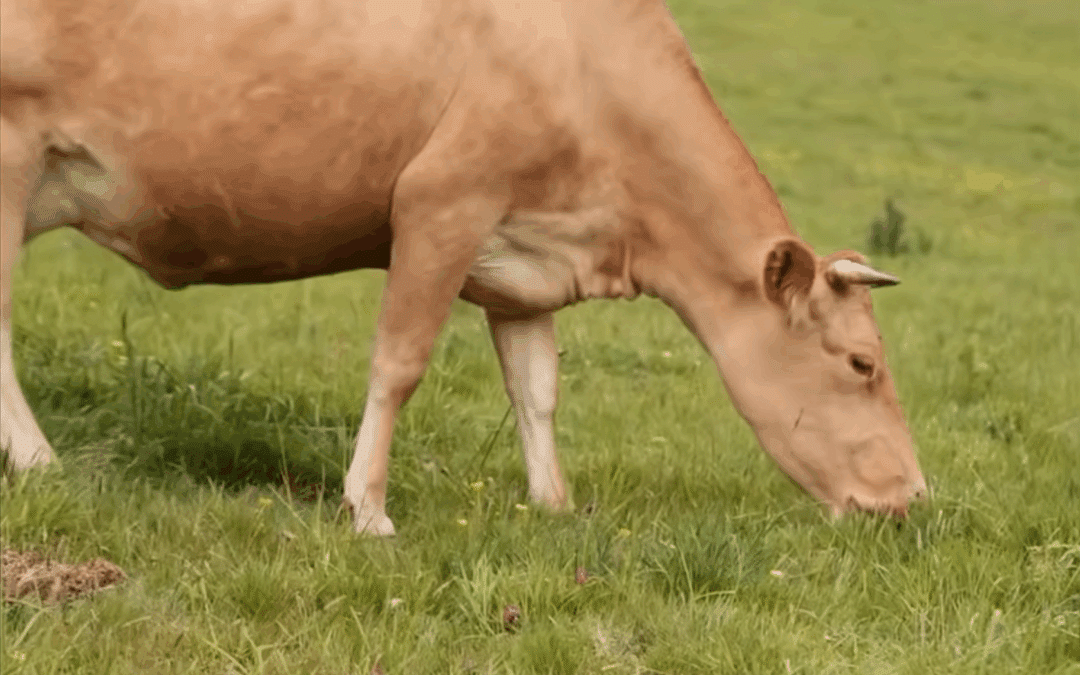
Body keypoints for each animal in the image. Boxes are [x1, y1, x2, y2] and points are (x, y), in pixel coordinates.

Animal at [1, 0, 926, 535]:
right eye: (861, 362)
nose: (914, 496)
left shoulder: (527, 261)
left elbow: (538, 387)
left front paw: (553, 504)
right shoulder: (441, 203)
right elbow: (399, 362)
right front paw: (368, 507)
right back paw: (39, 461)